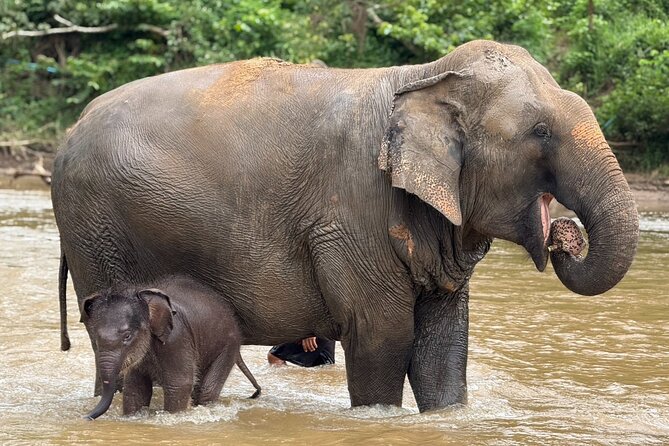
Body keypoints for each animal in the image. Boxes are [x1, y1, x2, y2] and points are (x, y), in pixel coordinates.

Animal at [81, 276, 261, 420]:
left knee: (207, 390)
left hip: (228, 345)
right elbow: (136, 388)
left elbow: (179, 384)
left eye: (127, 336)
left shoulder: (177, 338)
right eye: (95, 337)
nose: (86, 418)